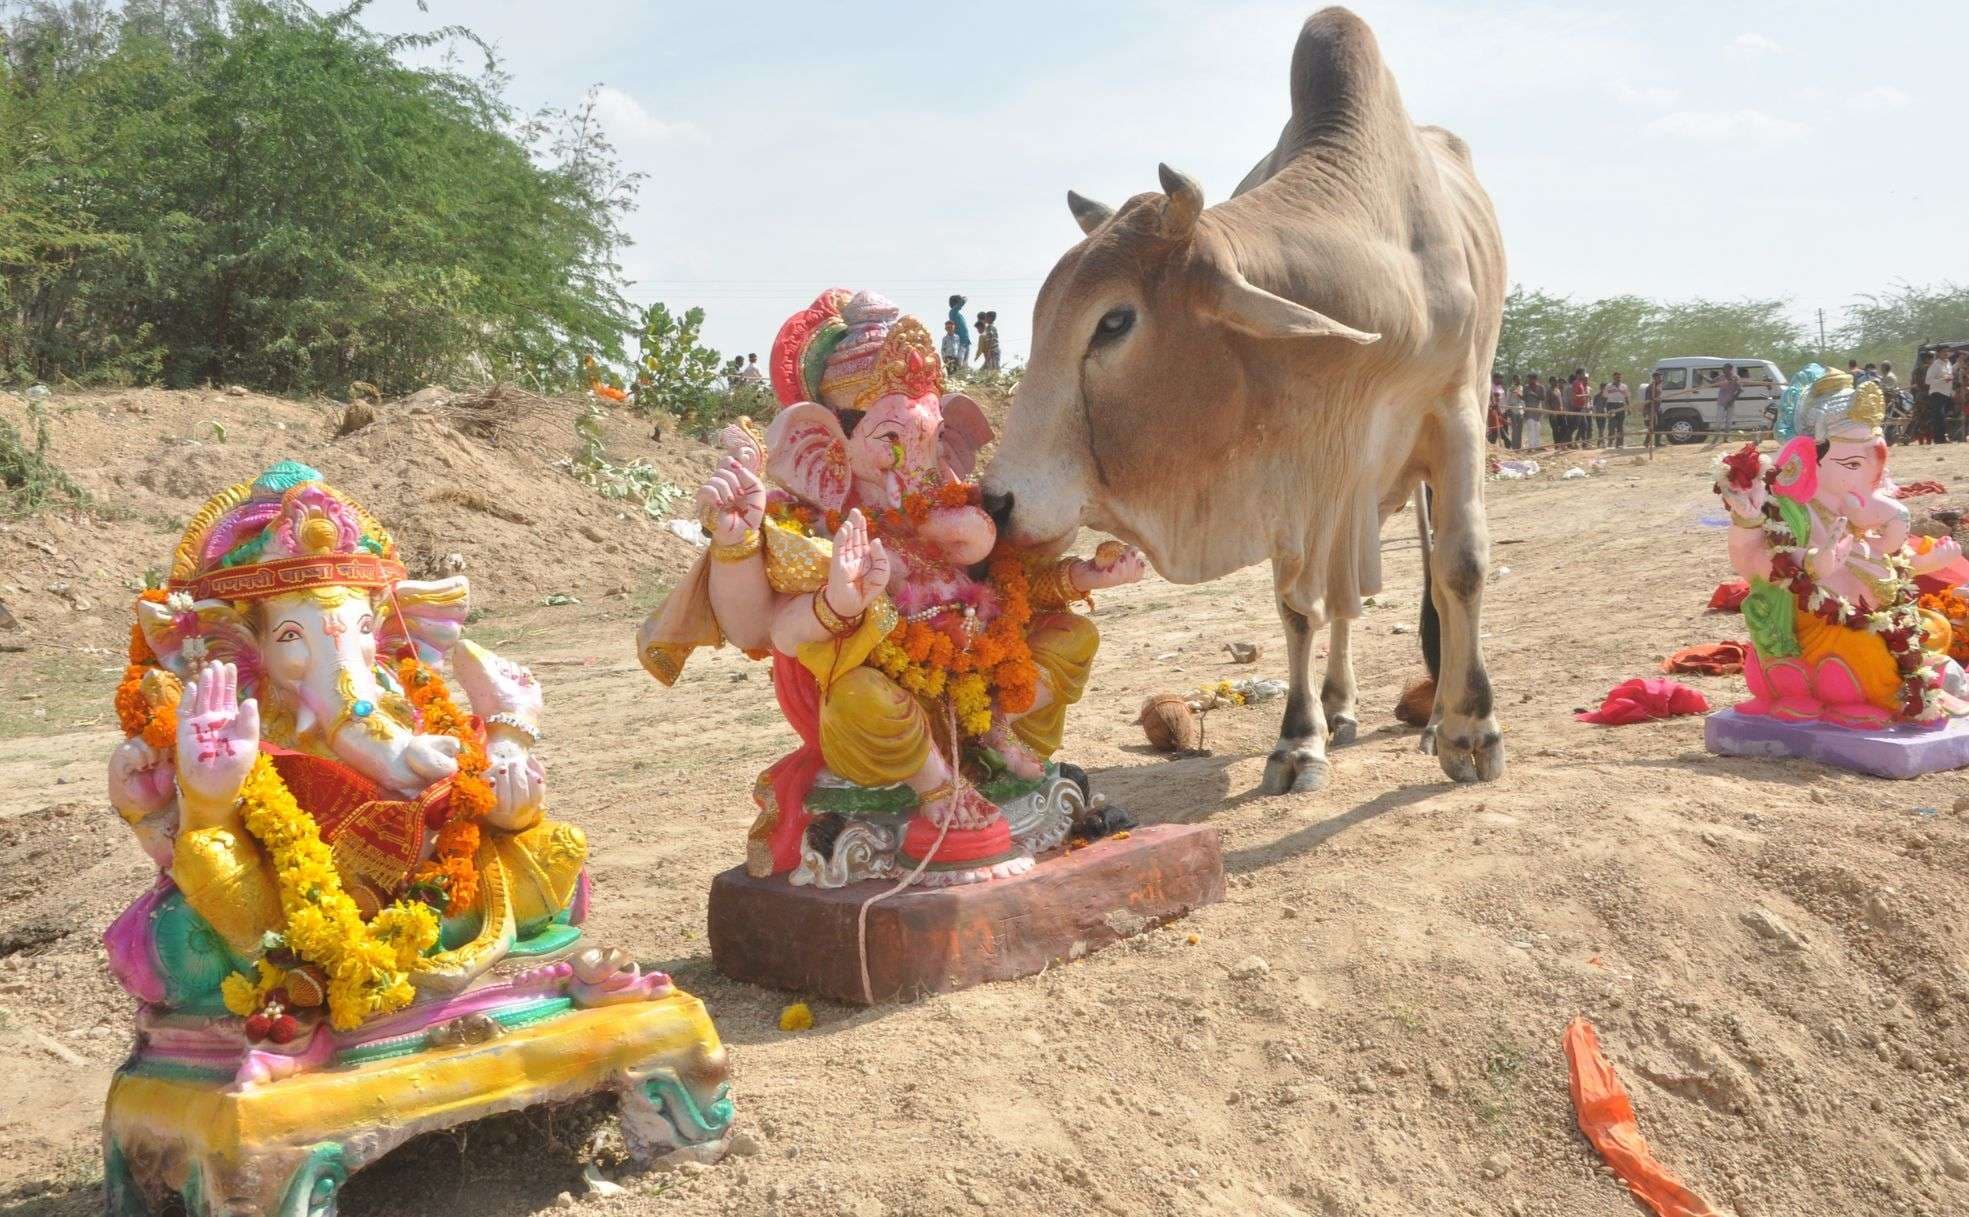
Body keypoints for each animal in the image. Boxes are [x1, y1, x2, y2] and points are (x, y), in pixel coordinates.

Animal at [980, 4, 1504, 791]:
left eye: (1114, 321)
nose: (996, 502)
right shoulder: (1300, 475)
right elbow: (1298, 606)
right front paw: (1299, 738)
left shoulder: (1455, 414)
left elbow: (1461, 567)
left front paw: (1472, 728)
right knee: (1344, 600)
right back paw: (1339, 706)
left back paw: (1436, 717)